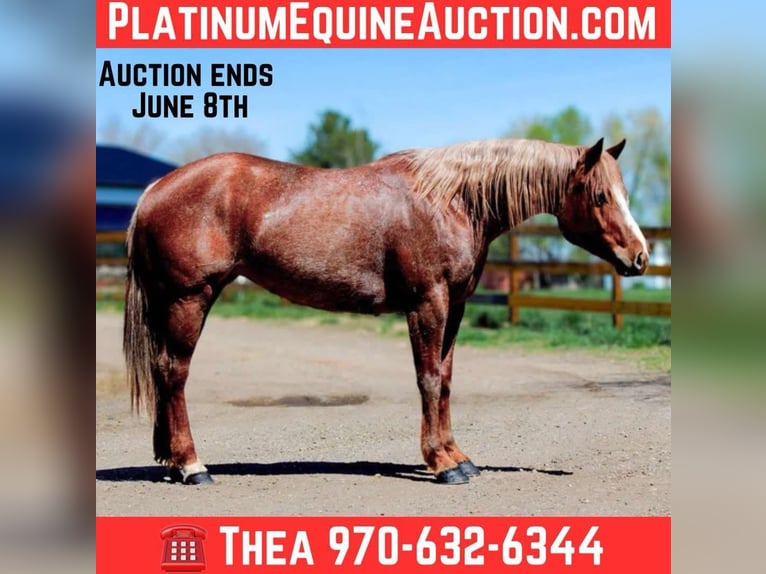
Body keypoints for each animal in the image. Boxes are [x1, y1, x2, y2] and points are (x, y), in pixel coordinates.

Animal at [123, 137, 648, 485]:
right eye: (600, 195)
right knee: (174, 373)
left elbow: (446, 380)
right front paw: (441, 464)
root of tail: (154, 189)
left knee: (165, 374)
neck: (451, 201)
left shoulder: (455, 306)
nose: (640, 257)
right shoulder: (427, 303)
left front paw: (458, 456)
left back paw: (172, 460)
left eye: (625, 193)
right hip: (190, 298)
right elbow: (428, 380)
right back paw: (192, 465)